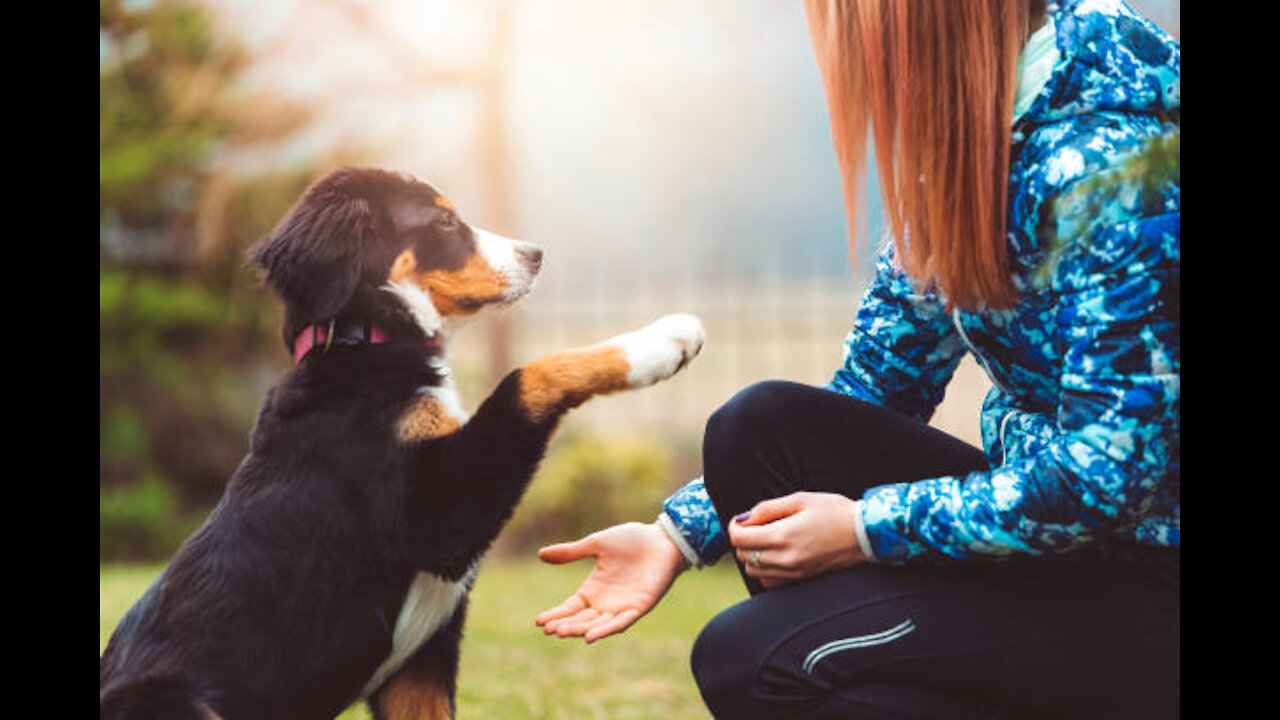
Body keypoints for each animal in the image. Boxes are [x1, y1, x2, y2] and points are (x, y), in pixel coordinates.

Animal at [99, 165, 706, 712]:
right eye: (443, 220)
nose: (536, 254)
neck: (361, 346)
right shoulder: (440, 516)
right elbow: (529, 375)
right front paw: (659, 343)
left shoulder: (421, 663)